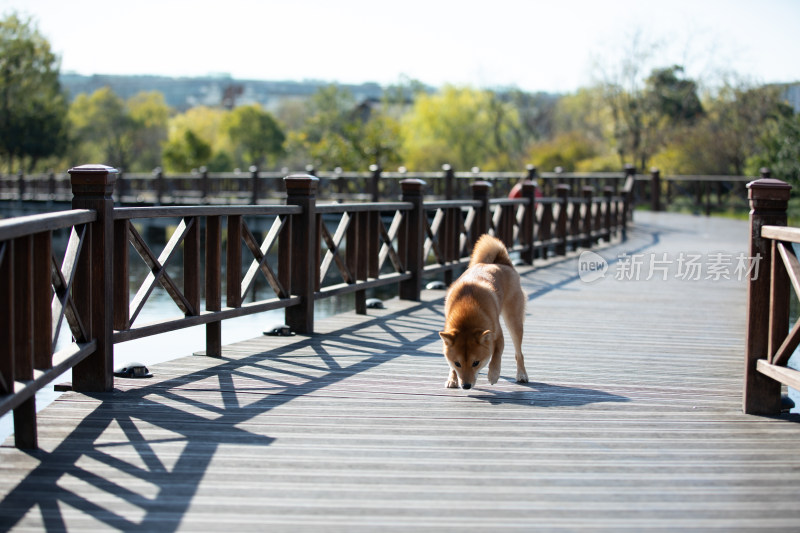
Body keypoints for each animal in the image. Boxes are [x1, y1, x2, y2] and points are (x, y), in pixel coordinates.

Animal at [438, 235, 524, 388]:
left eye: (476, 363)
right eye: (457, 363)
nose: (466, 386)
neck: (467, 307)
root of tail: (503, 264)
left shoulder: (497, 336)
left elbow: (496, 356)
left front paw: (493, 375)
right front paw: (452, 379)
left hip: (513, 321)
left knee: (519, 353)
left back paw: (522, 375)